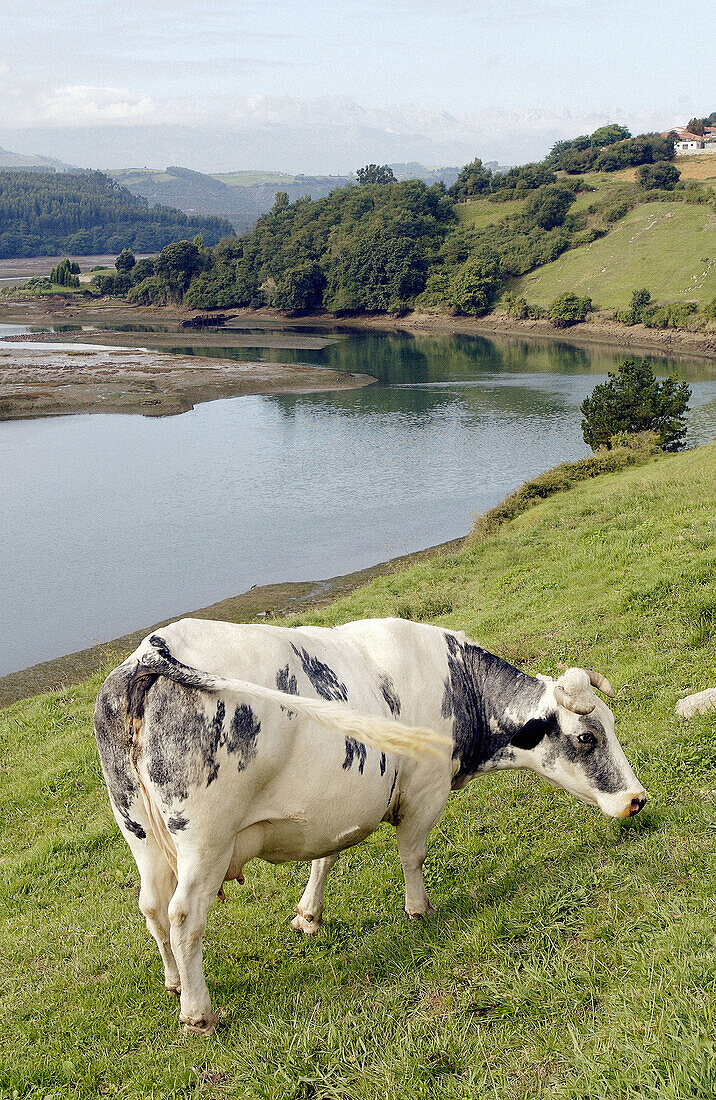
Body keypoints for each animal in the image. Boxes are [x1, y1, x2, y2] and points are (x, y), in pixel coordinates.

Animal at [92, 616, 646, 1034]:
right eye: (587, 737)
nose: (637, 800)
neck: (456, 681)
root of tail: (152, 651)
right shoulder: (424, 792)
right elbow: (412, 855)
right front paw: (420, 911)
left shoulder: (333, 808)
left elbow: (325, 858)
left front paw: (308, 915)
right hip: (204, 839)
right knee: (184, 914)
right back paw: (198, 1013)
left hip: (139, 831)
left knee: (152, 906)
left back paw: (172, 983)